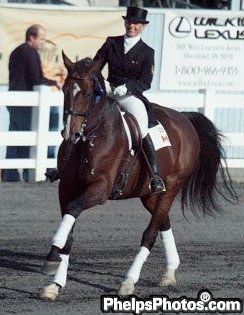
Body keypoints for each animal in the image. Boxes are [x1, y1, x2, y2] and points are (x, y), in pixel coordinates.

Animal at [39, 52, 236, 302]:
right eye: (65, 89)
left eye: (87, 92)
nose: (70, 134)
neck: (90, 139)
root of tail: (183, 118)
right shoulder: (66, 189)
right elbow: (69, 233)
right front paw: (54, 284)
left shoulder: (100, 189)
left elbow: (73, 211)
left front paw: (51, 259)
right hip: (149, 195)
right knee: (163, 222)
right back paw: (169, 273)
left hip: (171, 188)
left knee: (150, 234)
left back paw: (128, 282)